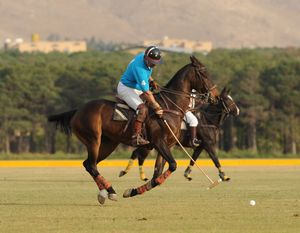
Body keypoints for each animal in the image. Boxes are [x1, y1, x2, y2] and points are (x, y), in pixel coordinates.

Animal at [47, 55, 218, 205]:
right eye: (204, 73)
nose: (215, 97)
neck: (170, 107)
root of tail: (77, 111)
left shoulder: (167, 145)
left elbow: (157, 175)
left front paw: (132, 191)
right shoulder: (159, 142)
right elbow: (173, 165)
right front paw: (130, 191)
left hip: (109, 144)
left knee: (88, 164)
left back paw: (104, 193)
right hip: (93, 139)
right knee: (91, 165)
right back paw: (110, 191)